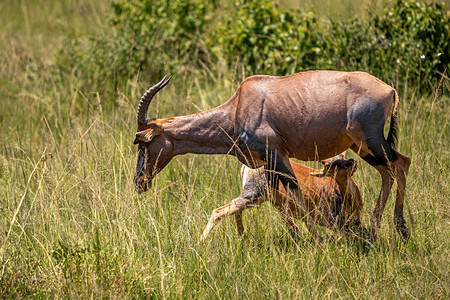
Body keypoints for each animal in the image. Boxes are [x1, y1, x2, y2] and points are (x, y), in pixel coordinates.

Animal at [133, 71, 412, 244]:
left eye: (142, 142)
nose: (140, 182)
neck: (239, 105)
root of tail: (389, 89)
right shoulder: (267, 164)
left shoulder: (277, 155)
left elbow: (297, 194)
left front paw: (318, 241)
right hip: (361, 146)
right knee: (388, 171)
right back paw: (376, 230)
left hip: (369, 140)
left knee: (401, 164)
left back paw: (400, 228)